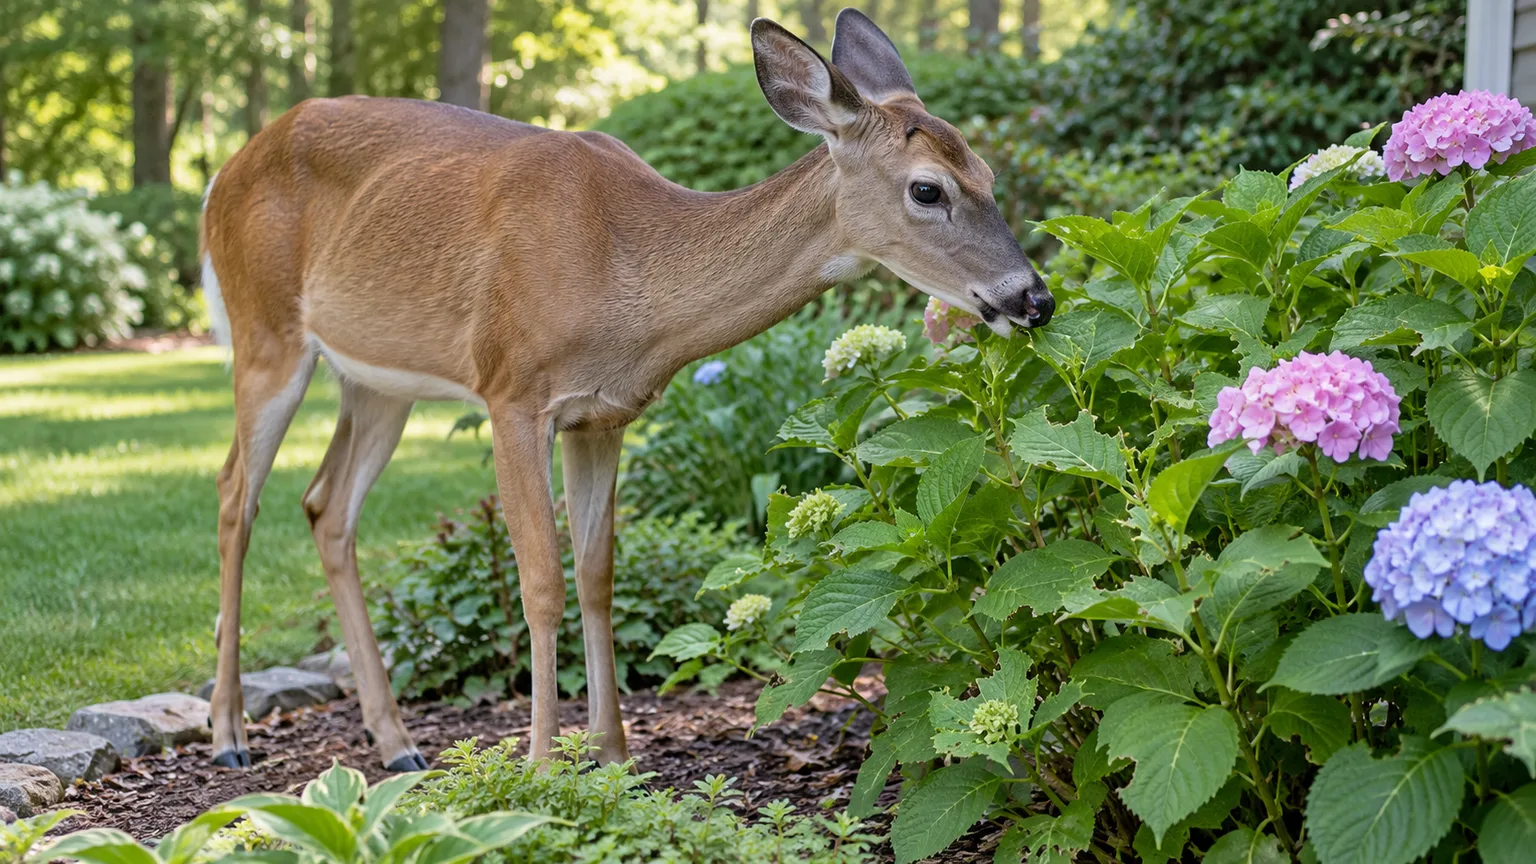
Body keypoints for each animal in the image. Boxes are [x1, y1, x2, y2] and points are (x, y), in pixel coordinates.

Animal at [199, 8, 1053, 772]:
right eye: (927, 190)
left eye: (988, 175)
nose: (1033, 299)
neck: (626, 271)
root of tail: (220, 174)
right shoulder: (511, 389)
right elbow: (541, 580)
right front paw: (542, 768)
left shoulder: (601, 415)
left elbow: (598, 574)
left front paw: (613, 755)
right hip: (264, 330)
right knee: (236, 492)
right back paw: (230, 734)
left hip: (378, 378)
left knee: (326, 506)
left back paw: (397, 742)